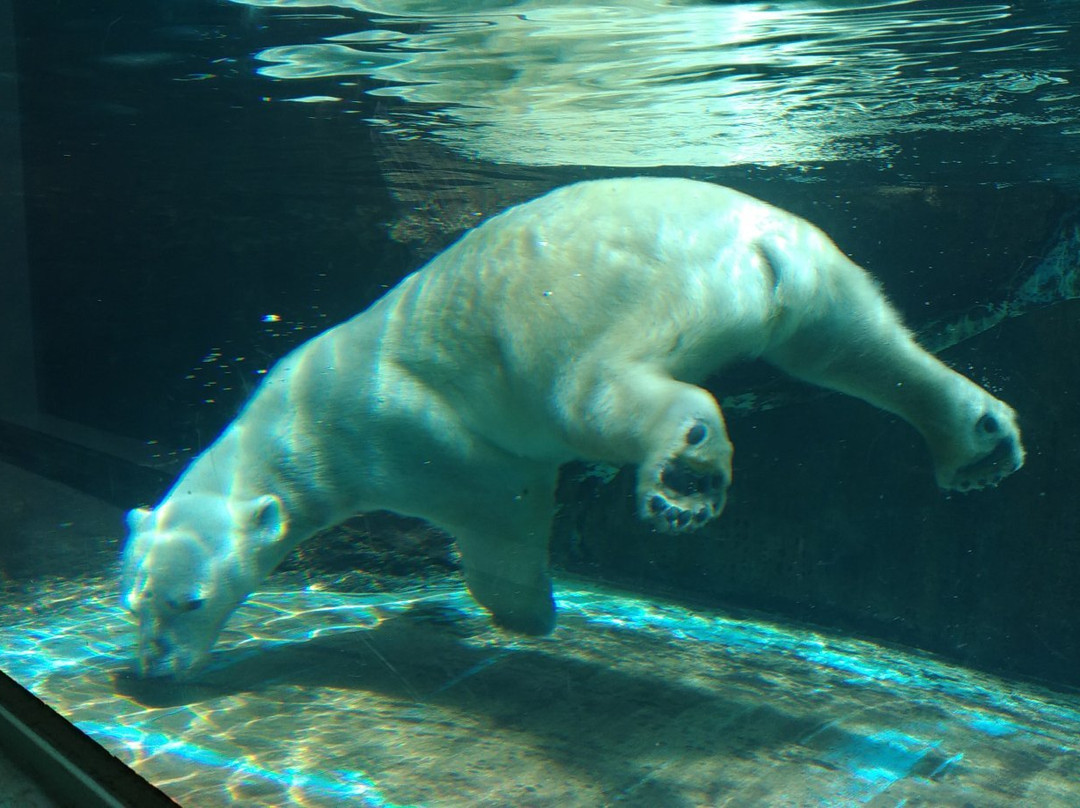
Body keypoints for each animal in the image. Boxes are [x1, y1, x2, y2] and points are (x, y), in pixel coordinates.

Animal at [122, 180, 1023, 678]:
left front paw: (527, 616)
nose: (152, 669)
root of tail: (752, 247)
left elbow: (499, 513)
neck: (297, 421)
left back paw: (685, 473)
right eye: (132, 600)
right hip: (818, 267)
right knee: (860, 345)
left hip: (596, 306)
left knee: (600, 395)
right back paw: (981, 440)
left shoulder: (417, 442)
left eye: (188, 599)